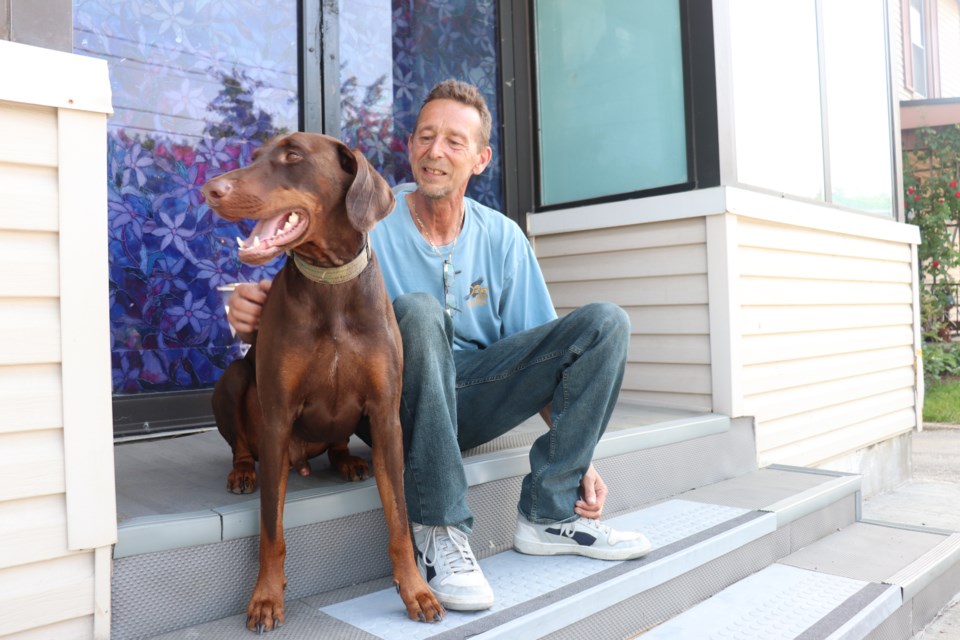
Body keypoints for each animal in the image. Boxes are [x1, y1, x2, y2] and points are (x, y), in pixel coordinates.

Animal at [204, 131, 444, 632]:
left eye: (293, 156)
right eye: (255, 156)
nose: (210, 189)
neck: (330, 282)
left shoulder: (386, 416)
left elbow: (399, 520)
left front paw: (415, 589)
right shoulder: (277, 417)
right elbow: (270, 529)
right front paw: (266, 598)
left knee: (336, 444)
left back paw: (346, 460)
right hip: (233, 383)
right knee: (241, 443)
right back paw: (242, 471)